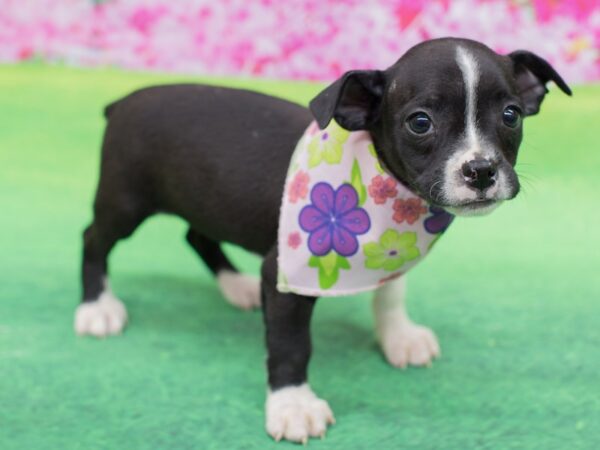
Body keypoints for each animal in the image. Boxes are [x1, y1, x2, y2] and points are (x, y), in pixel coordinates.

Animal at [76, 37, 572, 442]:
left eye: (510, 115)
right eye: (420, 122)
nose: (481, 170)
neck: (390, 197)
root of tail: (122, 102)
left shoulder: (392, 250)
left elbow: (390, 291)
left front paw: (398, 335)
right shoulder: (286, 274)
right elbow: (291, 344)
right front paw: (292, 403)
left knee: (196, 234)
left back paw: (235, 285)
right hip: (125, 201)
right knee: (93, 239)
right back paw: (97, 307)